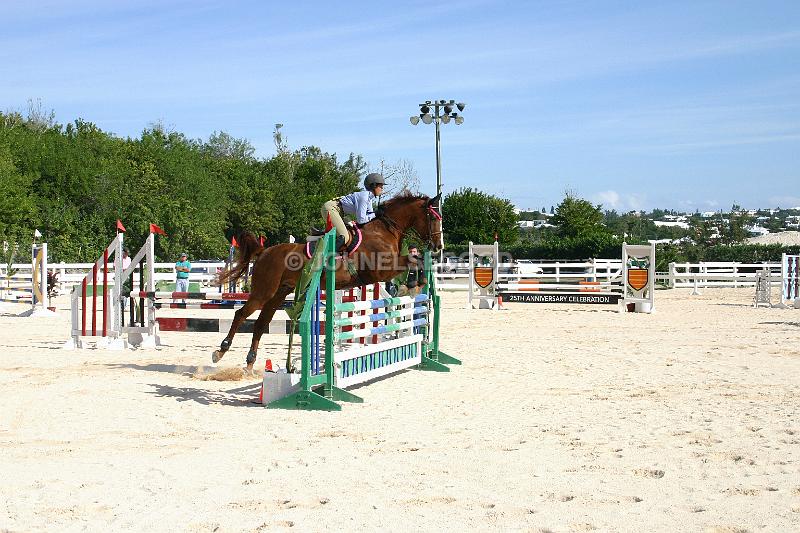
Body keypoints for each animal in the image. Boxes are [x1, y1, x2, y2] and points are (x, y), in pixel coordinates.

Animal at [212, 193, 444, 372]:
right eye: (433, 218)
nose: (438, 246)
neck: (385, 230)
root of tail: (264, 252)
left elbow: (416, 259)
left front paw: (416, 284)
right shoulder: (380, 272)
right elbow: (413, 260)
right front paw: (411, 286)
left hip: (279, 294)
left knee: (261, 323)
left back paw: (250, 363)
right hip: (264, 292)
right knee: (240, 314)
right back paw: (221, 351)